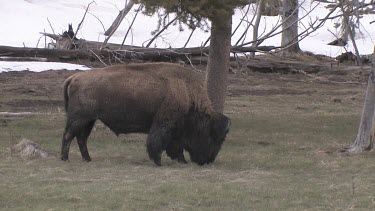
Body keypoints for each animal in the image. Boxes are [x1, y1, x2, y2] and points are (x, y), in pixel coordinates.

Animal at [60, 62, 231, 166]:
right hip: (80, 119)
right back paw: (65, 159)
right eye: (215, 137)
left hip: (89, 120)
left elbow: (175, 146)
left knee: (81, 138)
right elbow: (157, 142)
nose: (208, 160)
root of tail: (74, 77)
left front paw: (182, 161)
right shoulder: (164, 124)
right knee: (69, 136)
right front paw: (158, 162)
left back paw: (87, 159)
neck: (186, 91)